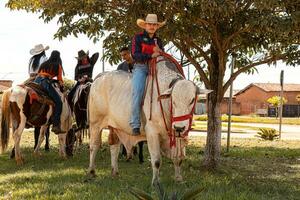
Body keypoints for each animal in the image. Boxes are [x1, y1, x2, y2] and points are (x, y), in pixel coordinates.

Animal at [85, 56, 210, 184]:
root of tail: (101, 76)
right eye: (173, 100)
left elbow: (178, 158)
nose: (179, 127)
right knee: (94, 146)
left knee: (114, 146)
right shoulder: (152, 133)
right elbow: (156, 161)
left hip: (114, 126)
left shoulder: (178, 135)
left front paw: (179, 179)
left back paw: (115, 172)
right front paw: (155, 182)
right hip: (95, 124)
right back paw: (91, 171)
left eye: (192, 100)